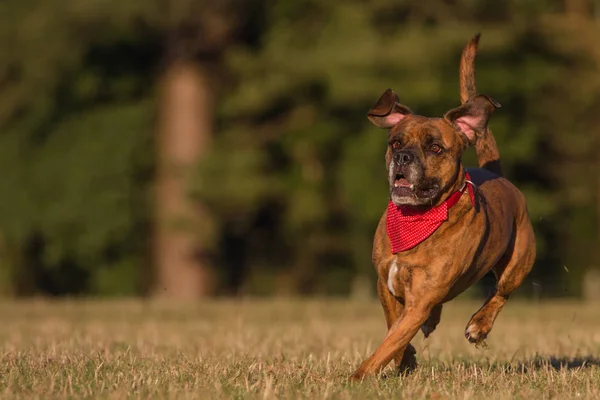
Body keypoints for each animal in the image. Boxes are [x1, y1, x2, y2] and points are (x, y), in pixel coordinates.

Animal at [350, 32, 536, 380]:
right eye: (395, 142)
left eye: (435, 147)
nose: (403, 156)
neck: (417, 217)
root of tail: (498, 175)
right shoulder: (387, 285)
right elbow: (394, 331)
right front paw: (406, 361)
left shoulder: (420, 299)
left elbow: (389, 342)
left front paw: (358, 376)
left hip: (519, 261)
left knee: (501, 291)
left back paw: (479, 324)